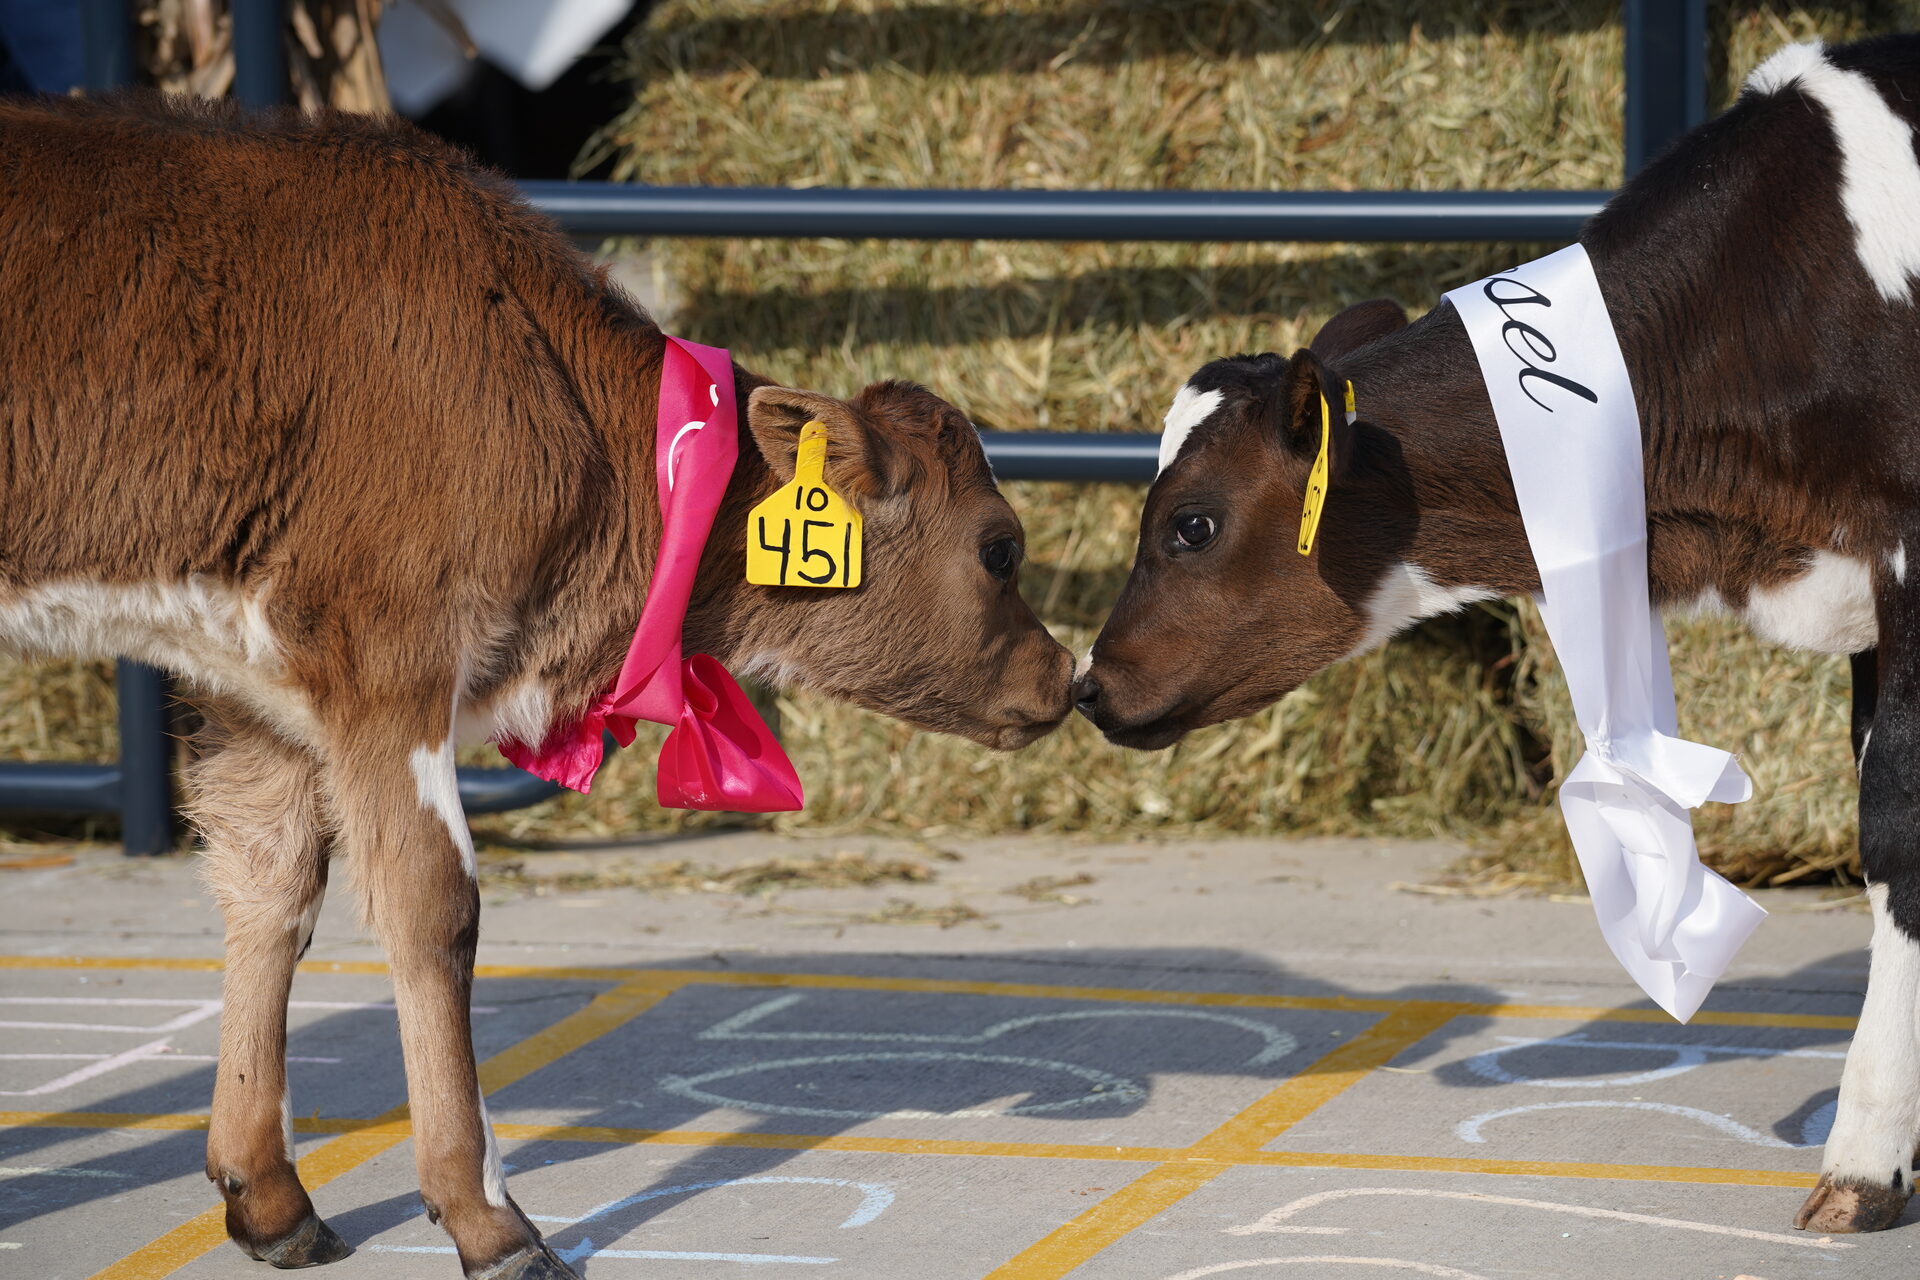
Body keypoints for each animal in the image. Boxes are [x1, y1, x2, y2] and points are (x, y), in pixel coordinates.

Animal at [0, 94, 1072, 1277]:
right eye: (1000, 548)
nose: (1064, 672)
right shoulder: (392, 657)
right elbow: (434, 907)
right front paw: (485, 1214)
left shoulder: (247, 683)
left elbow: (270, 885)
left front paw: (266, 1192)